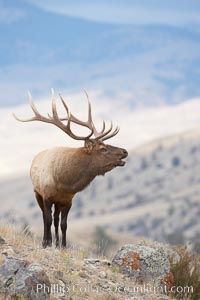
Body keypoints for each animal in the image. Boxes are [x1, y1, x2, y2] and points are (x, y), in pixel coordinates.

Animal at [13, 90, 128, 247]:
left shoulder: (68, 200)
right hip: (37, 193)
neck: (65, 182)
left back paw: (56, 242)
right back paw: (46, 241)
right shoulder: (46, 195)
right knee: (45, 217)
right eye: (103, 149)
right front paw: (47, 243)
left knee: (56, 220)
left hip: (57, 202)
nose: (125, 151)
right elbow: (47, 219)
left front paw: (63, 245)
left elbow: (64, 224)